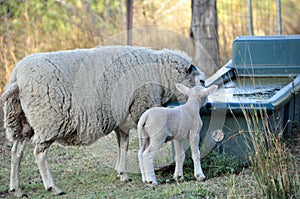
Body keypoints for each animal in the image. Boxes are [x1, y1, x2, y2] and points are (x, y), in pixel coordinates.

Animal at [0, 45, 206, 197]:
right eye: (202, 82)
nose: (205, 100)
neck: (161, 72)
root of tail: (17, 78)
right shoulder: (141, 107)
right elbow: (139, 148)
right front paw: (146, 177)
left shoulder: (122, 120)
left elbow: (123, 145)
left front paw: (122, 174)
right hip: (48, 122)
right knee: (39, 153)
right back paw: (53, 187)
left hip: (22, 122)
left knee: (16, 152)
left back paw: (16, 188)